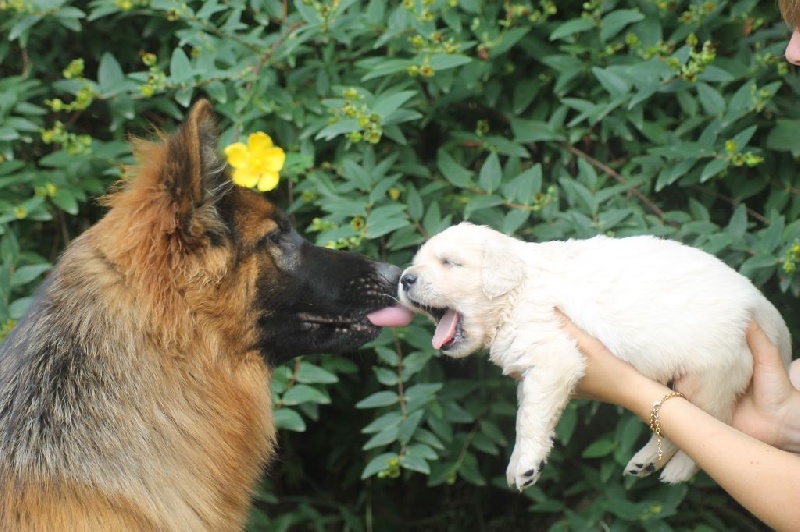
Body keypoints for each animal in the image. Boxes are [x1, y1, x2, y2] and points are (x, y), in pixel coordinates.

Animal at [396, 221, 792, 490]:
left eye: (450, 263)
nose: (403, 279)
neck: (515, 292)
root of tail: (767, 313)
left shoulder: (553, 354)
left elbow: (528, 418)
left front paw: (525, 465)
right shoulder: (534, 371)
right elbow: (532, 410)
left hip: (712, 374)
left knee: (711, 423)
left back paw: (671, 469)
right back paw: (647, 464)